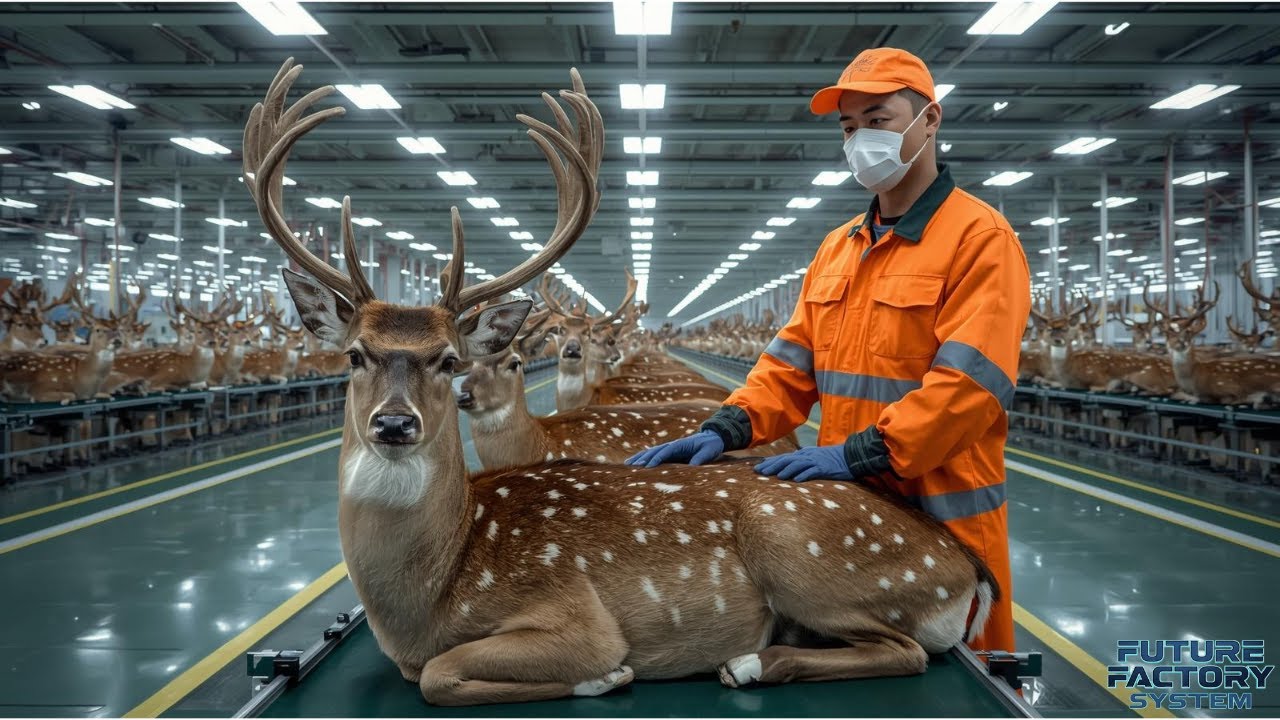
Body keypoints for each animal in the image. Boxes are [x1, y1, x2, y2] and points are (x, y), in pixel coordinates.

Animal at [244, 58, 999, 707]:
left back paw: (748, 662)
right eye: (354, 355)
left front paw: (606, 677)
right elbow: (432, 673)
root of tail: (967, 567)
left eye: (448, 358)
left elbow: (441, 675)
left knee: (905, 650)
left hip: (808, 555)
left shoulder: (576, 616)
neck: (427, 591)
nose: (396, 422)